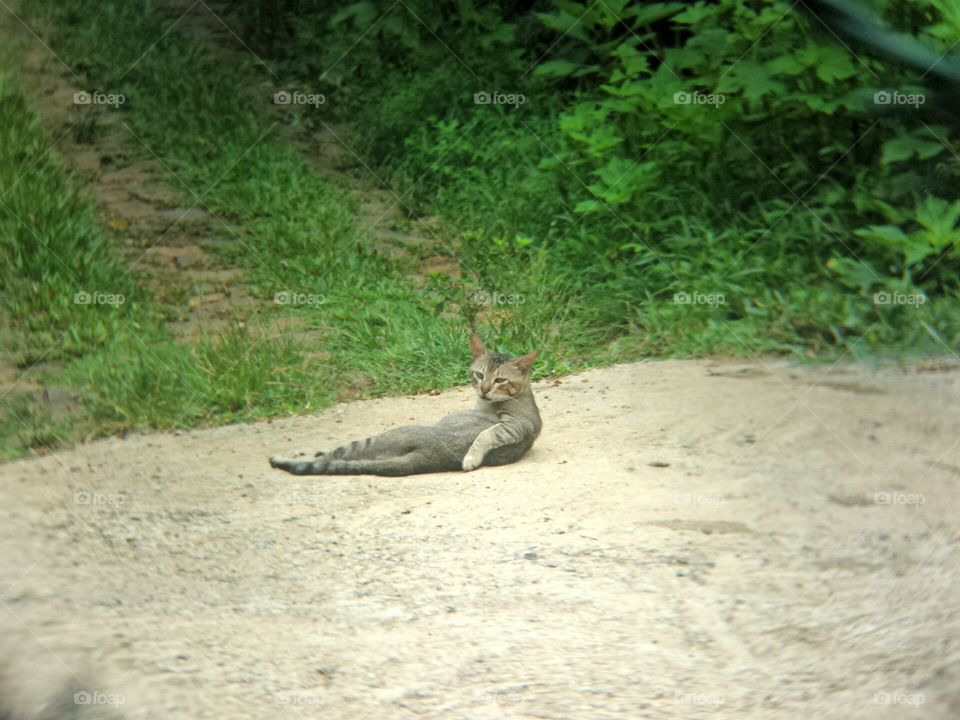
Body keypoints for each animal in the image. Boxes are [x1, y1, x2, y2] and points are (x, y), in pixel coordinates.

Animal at [268, 334, 540, 476]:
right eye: (479, 375)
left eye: (500, 380)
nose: (483, 390)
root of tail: (430, 456)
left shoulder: (517, 425)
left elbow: (486, 435)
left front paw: (471, 458)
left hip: (381, 437)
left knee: (332, 456)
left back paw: (282, 458)